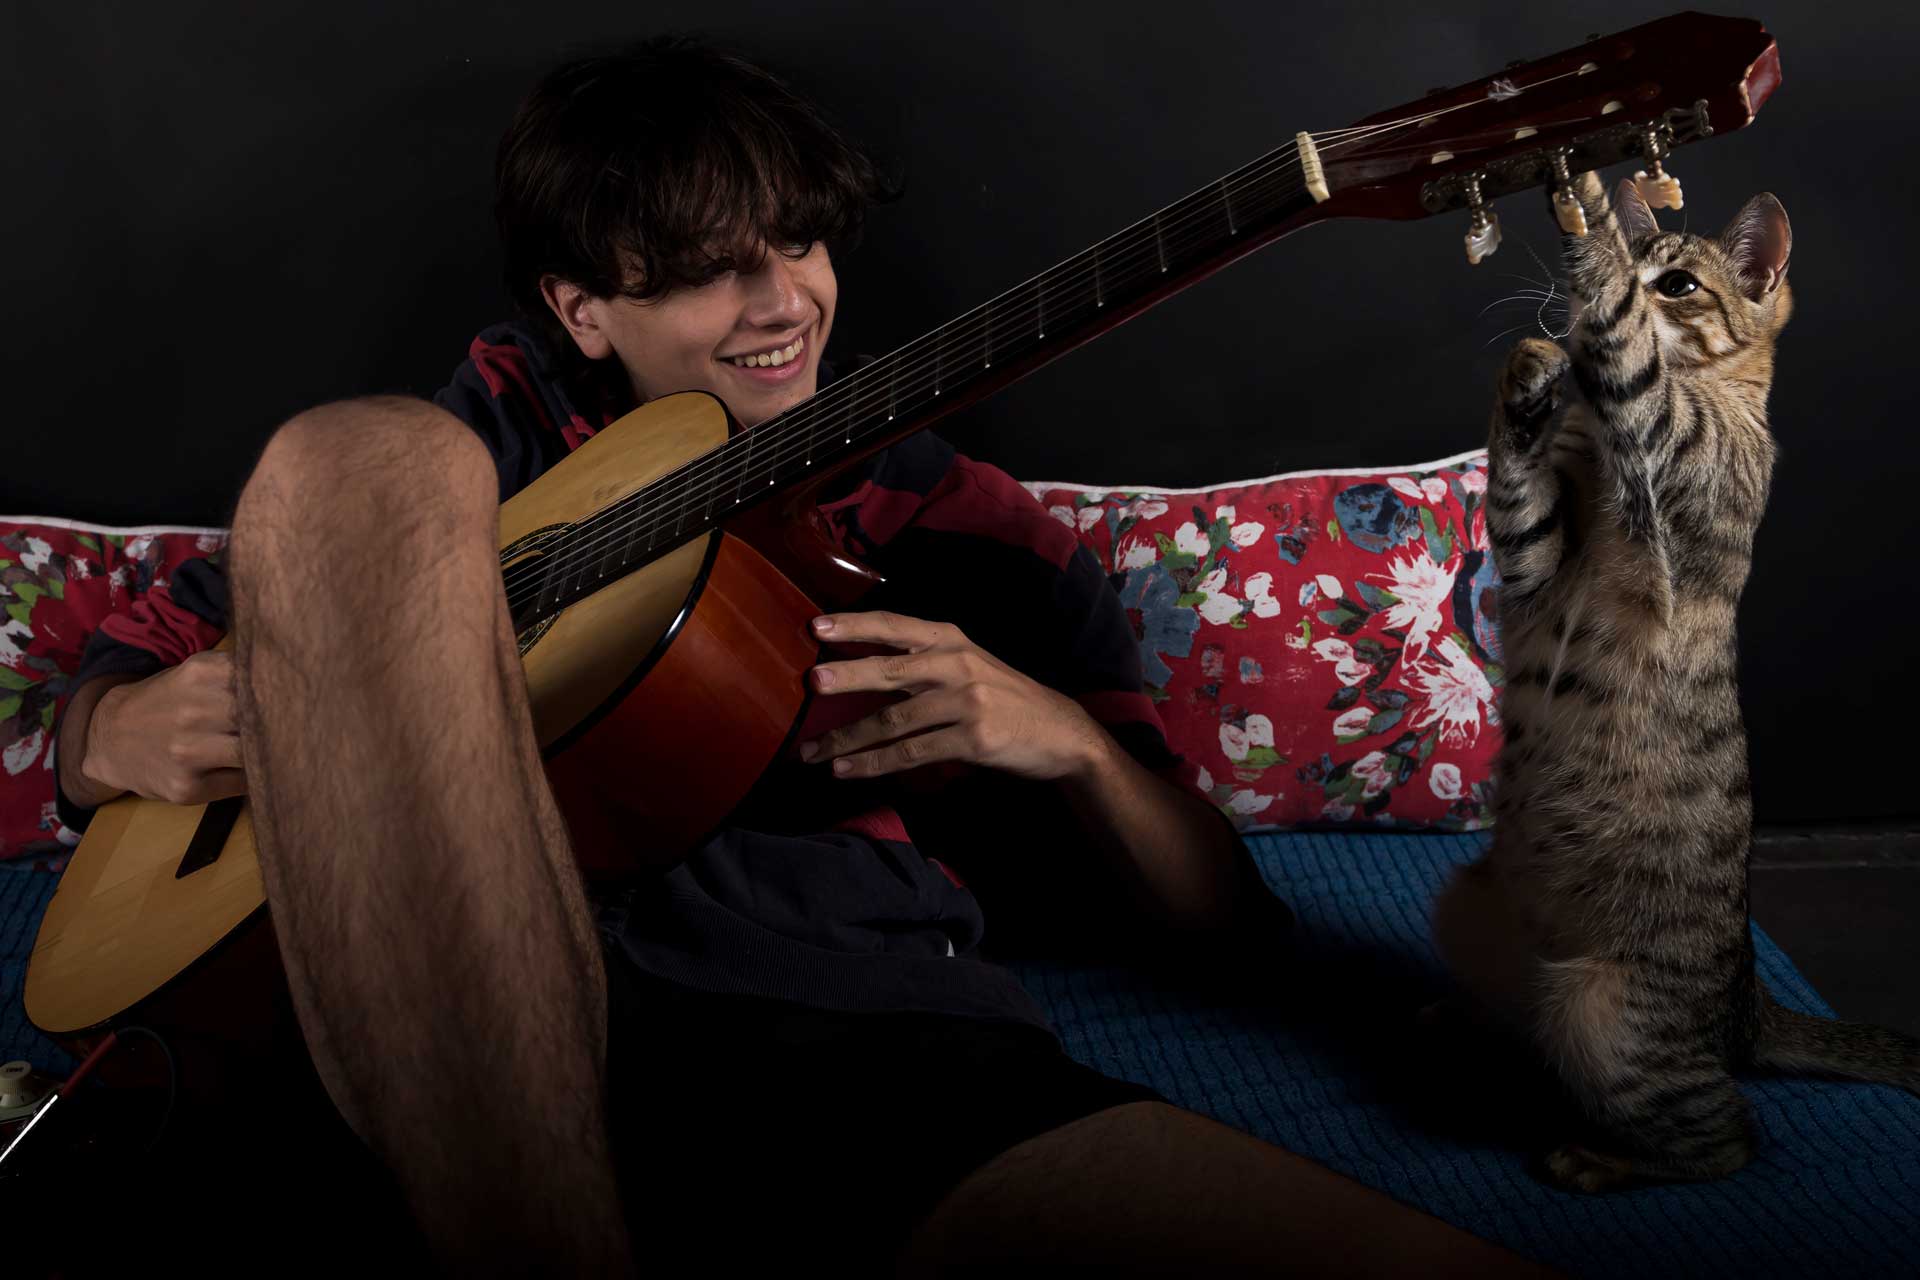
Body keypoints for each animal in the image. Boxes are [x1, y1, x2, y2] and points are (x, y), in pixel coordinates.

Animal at [1436, 167, 1912, 1189]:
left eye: (1681, 286)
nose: (1564, 320)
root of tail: (1745, 1010)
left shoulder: (1675, 449)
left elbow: (1634, 365)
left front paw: (1584, 226)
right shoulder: (1533, 565)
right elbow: (1519, 492)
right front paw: (1530, 371)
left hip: (1605, 1015)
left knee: (1727, 1142)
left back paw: (1597, 1160)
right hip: (1463, 909)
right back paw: (1460, 1031)